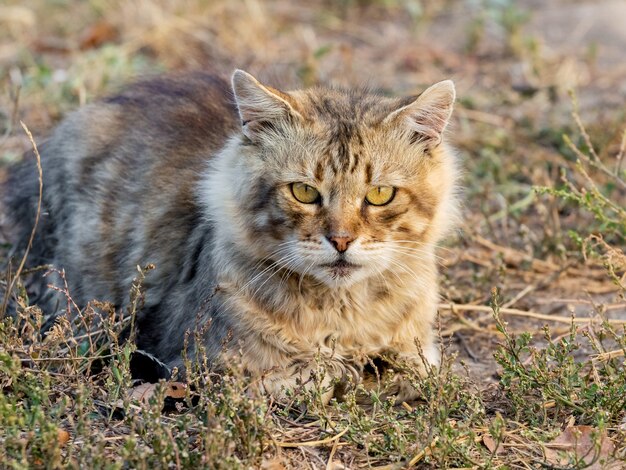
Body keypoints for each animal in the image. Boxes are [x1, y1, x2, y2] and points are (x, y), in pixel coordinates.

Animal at [6, 70, 458, 400]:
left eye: (380, 195)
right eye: (304, 192)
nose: (342, 240)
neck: (342, 312)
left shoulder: (418, 348)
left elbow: (410, 367)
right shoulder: (199, 361)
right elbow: (319, 372)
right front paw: (349, 371)